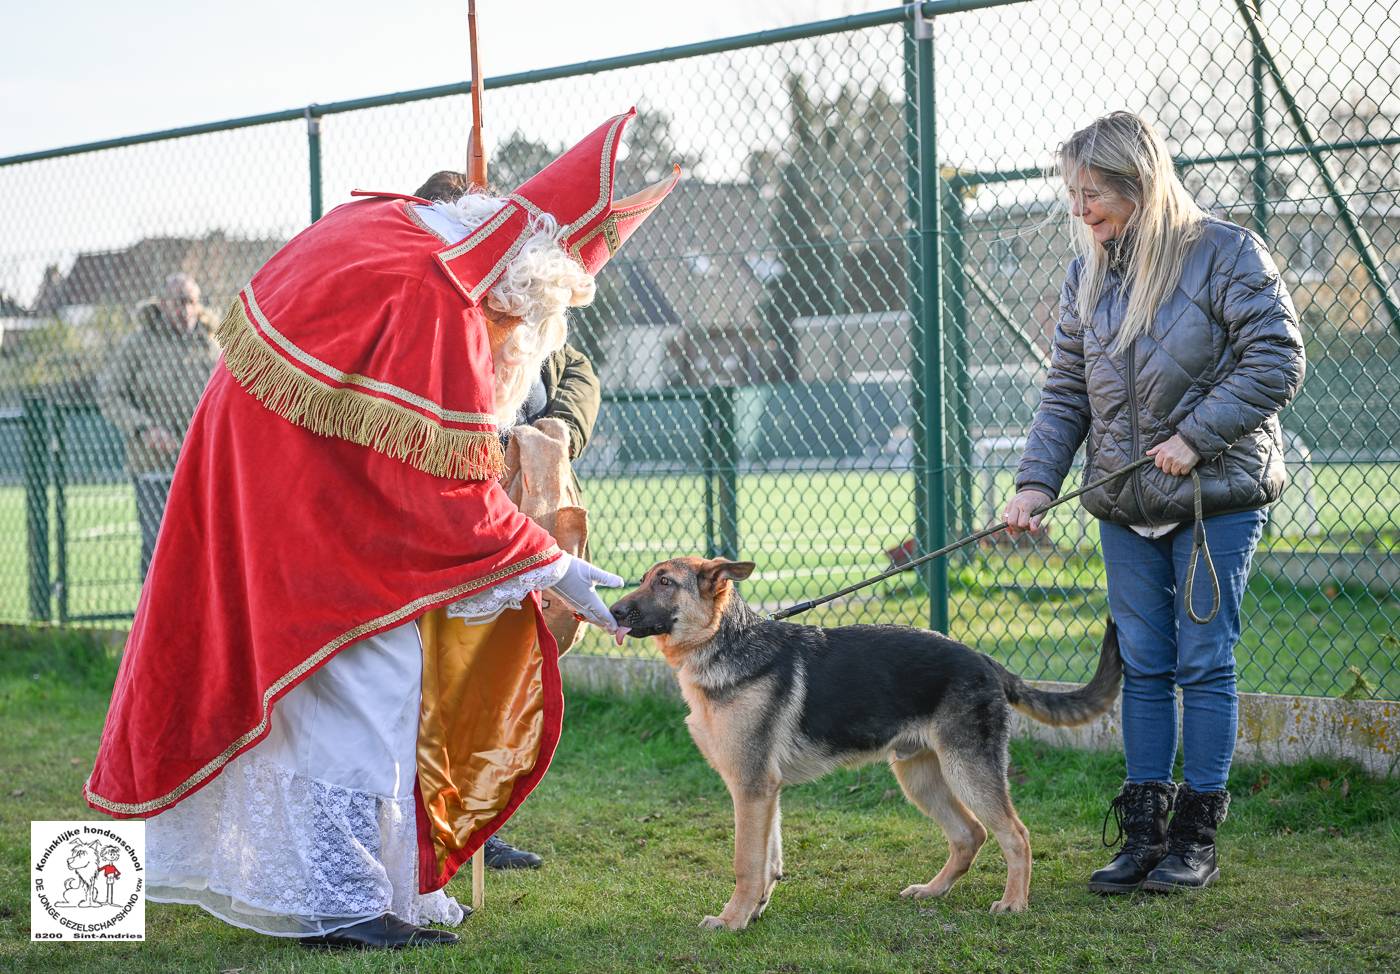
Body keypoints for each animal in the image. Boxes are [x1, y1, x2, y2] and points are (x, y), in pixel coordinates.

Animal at [607, 554, 1120, 929]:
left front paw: (732, 920)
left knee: (1015, 834)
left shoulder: (750, 789)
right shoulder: (766, 792)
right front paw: (755, 911)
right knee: (969, 834)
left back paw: (1013, 903)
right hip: (919, 777)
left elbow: (746, 863)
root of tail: (985, 659)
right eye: (646, 579)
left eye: (665, 582)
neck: (724, 643)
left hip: (967, 771)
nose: (611, 611)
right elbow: (769, 859)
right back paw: (933, 891)